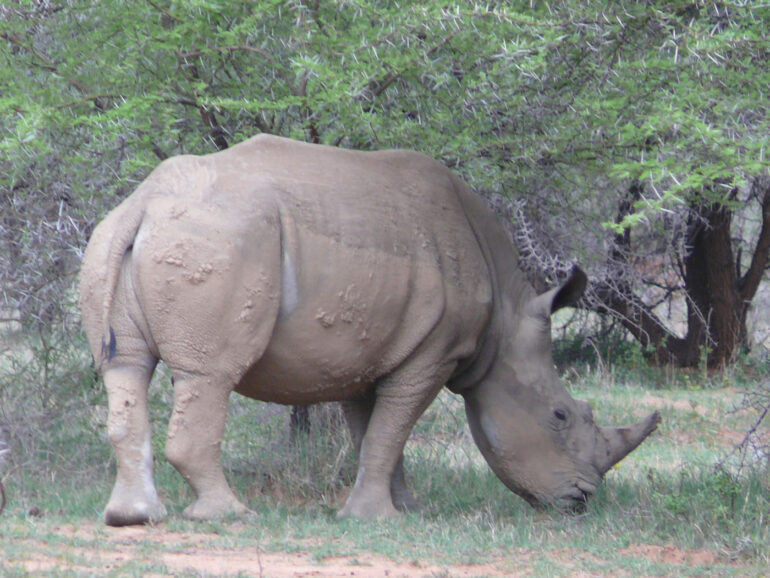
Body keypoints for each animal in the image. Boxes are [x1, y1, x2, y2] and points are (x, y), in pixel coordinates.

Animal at [80, 135, 659, 526]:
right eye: (560, 416)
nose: (580, 501)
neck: (505, 322)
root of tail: (145, 202)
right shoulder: (434, 352)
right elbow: (390, 430)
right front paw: (376, 518)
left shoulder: (365, 350)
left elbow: (373, 433)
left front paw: (402, 507)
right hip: (219, 242)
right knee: (210, 377)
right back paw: (229, 515)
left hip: (112, 239)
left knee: (125, 368)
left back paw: (135, 518)